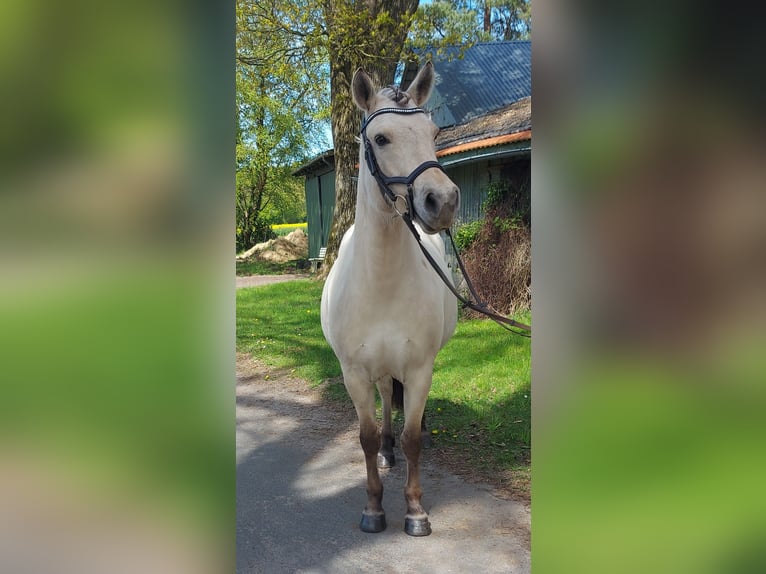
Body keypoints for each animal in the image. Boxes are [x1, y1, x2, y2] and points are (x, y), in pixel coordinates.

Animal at [320, 62, 460, 537]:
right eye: (381, 139)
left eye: (433, 132)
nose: (443, 201)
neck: (381, 284)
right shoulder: (354, 373)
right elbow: (363, 437)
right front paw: (373, 508)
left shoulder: (419, 369)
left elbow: (412, 437)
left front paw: (415, 511)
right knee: (384, 400)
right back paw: (385, 450)